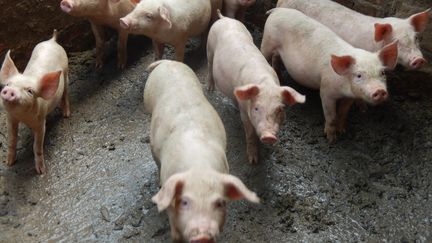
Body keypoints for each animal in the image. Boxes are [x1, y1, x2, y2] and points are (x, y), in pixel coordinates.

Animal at [0, 30, 69, 175]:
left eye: (30, 91)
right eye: (8, 84)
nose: (10, 90)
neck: (23, 117)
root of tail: (52, 41)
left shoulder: (40, 122)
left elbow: (36, 146)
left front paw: (41, 172)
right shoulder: (11, 118)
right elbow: (12, 140)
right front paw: (9, 163)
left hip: (66, 73)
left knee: (65, 94)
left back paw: (66, 115)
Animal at [208, 10, 306, 163]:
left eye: (280, 109)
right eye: (256, 108)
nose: (269, 136)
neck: (265, 83)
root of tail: (224, 18)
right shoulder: (245, 113)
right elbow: (250, 134)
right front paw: (253, 161)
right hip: (209, 47)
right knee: (209, 66)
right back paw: (210, 90)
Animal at [260, 8, 398, 142]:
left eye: (382, 72)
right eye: (359, 75)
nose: (380, 90)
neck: (344, 89)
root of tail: (277, 10)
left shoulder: (350, 96)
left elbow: (343, 112)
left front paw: (342, 131)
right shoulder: (326, 90)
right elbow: (331, 116)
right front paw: (331, 139)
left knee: (276, 58)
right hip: (267, 41)